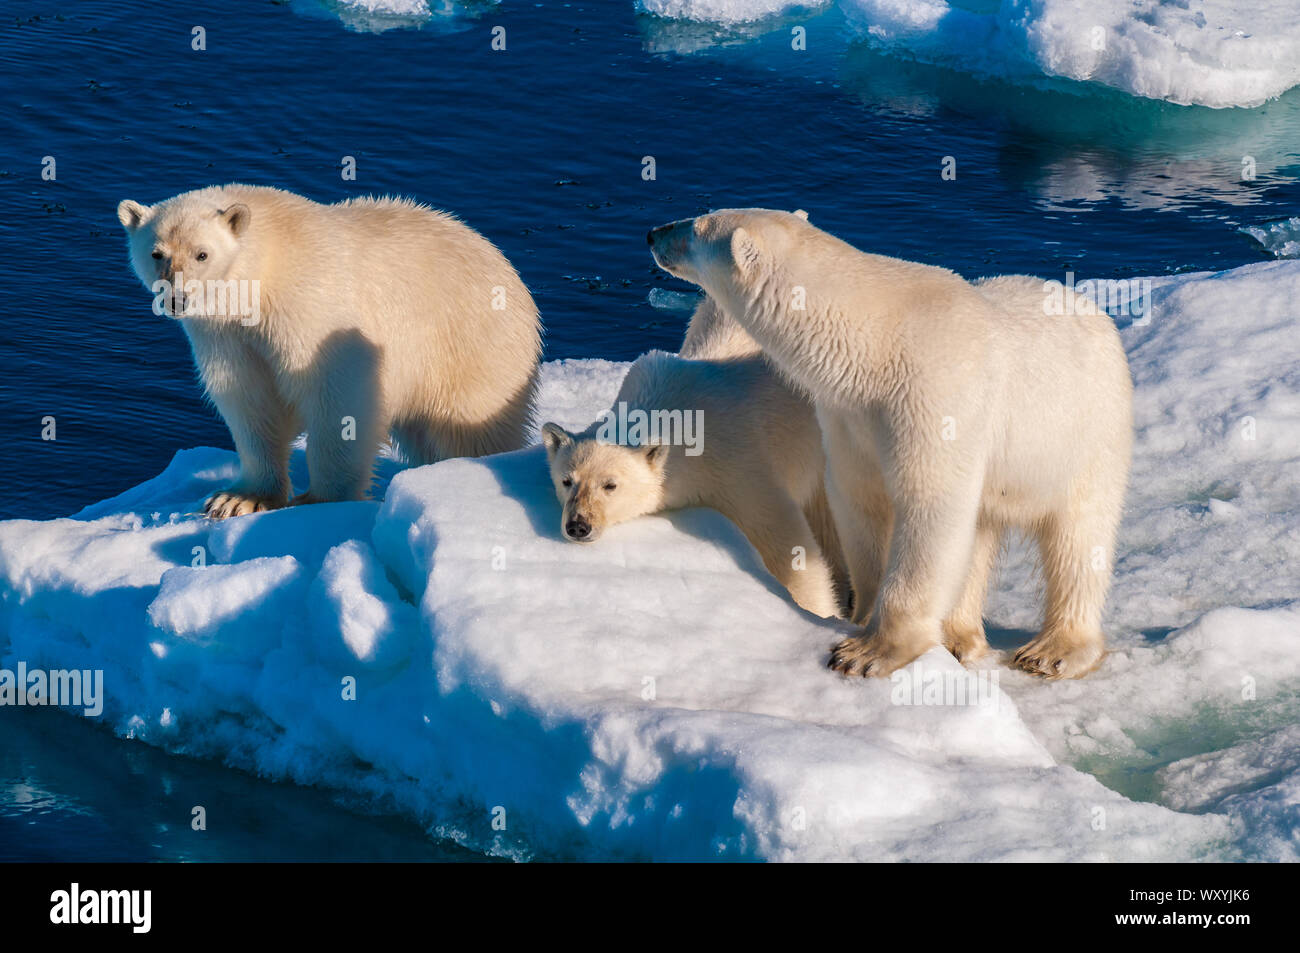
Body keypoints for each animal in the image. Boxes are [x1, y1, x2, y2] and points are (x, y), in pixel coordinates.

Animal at [117, 184, 541, 519]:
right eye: (156, 253)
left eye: (202, 254)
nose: (176, 298)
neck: (267, 270)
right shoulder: (226, 336)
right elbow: (249, 400)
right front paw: (239, 499)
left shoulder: (313, 312)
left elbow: (338, 399)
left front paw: (318, 500)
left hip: (471, 347)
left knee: (472, 427)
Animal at [540, 295, 846, 619]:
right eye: (567, 481)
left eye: (610, 485)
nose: (578, 526)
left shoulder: (738, 465)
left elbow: (786, 543)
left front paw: (817, 611)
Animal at [648, 208, 1133, 679]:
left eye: (695, 226)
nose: (653, 232)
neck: (874, 345)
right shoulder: (849, 415)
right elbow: (859, 499)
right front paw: (861, 616)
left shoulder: (934, 395)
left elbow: (929, 505)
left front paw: (866, 653)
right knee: (980, 530)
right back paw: (960, 638)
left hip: (1087, 432)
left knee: (1079, 536)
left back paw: (1053, 651)